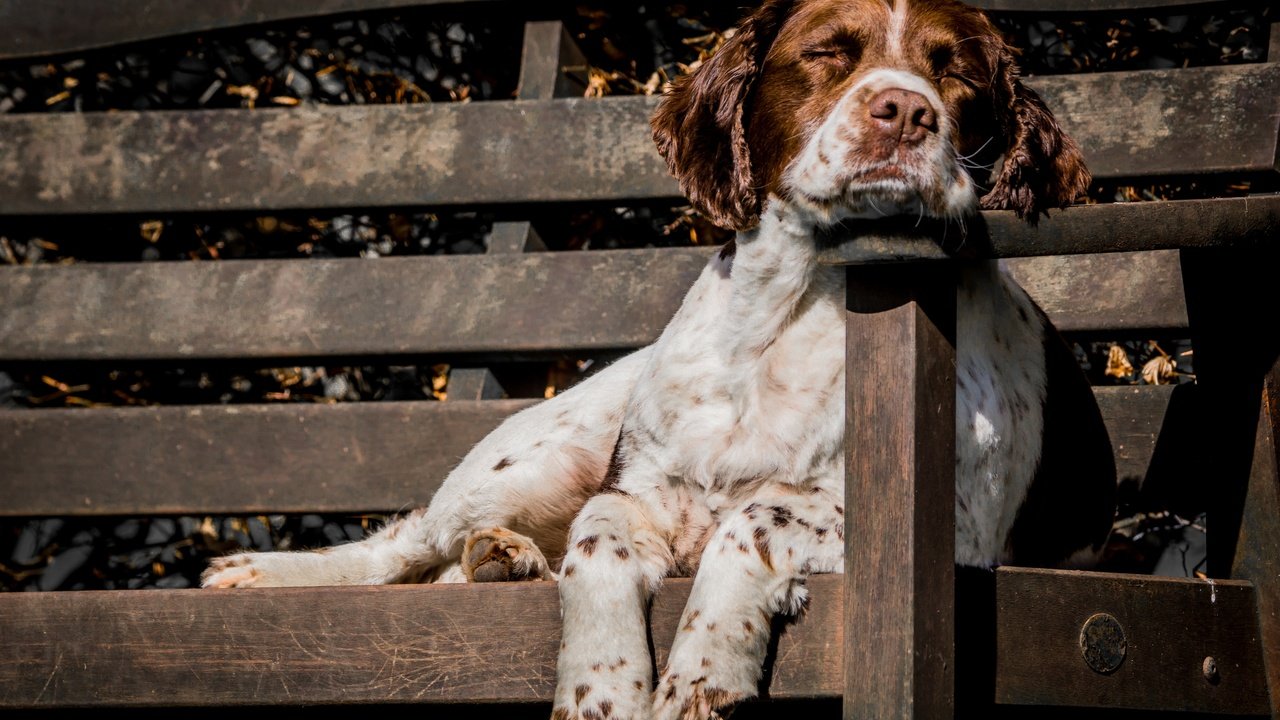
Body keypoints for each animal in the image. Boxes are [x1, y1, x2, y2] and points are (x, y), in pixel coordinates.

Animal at [204, 0, 1116, 712]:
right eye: (827, 52)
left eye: (956, 72)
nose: (905, 110)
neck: (792, 312)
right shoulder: (631, 494)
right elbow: (596, 547)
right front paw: (601, 689)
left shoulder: (953, 532)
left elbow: (752, 520)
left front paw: (703, 673)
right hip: (533, 458)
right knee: (407, 546)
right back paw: (268, 571)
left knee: (445, 572)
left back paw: (503, 560)